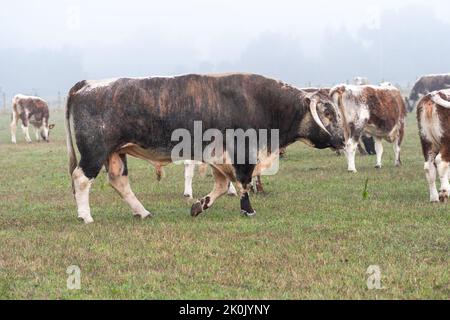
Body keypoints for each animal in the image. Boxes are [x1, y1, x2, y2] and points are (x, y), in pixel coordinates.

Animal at [64, 73, 344, 222]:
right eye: (328, 112)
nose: (342, 140)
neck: (262, 102)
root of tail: (87, 84)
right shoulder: (242, 153)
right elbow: (242, 182)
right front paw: (248, 210)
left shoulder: (218, 158)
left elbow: (221, 186)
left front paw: (199, 205)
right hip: (95, 152)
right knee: (81, 178)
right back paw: (85, 216)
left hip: (115, 153)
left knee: (119, 181)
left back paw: (142, 212)